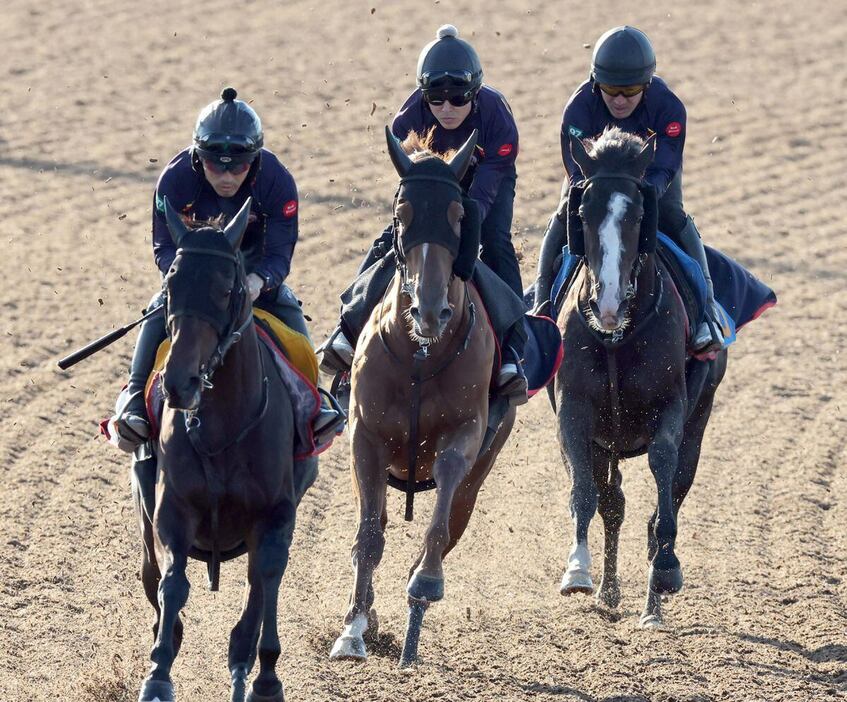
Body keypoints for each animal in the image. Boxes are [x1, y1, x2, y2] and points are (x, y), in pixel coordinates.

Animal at [133, 198, 314, 702]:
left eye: (225, 288)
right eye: (172, 286)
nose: (179, 382)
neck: (222, 427)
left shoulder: (276, 513)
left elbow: (266, 580)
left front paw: (265, 676)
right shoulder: (173, 507)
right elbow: (174, 584)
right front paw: (158, 673)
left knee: (257, 586)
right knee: (153, 576)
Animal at [330, 128, 516, 672]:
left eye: (457, 214)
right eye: (402, 212)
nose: (430, 311)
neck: (418, 355)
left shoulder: (468, 431)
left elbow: (441, 513)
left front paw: (425, 582)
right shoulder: (364, 435)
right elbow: (369, 537)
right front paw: (353, 629)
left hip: (485, 461)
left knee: (453, 520)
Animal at [556, 128, 728, 632]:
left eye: (636, 215)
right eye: (583, 214)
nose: (608, 303)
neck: (619, 334)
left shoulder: (669, 408)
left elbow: (662, 470)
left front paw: (666, 570)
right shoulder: (574, 410)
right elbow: (585, 492)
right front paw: (578, 571)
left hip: (700, 418)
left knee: (671, 490)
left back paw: (653, 604)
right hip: (606, 442)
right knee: (612, 503)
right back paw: (610, 591)